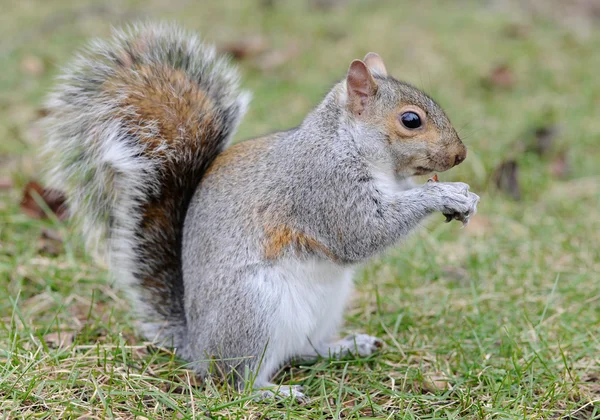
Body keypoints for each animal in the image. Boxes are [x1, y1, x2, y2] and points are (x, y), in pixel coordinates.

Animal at [44, 23, 480, 400]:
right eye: (411, 120)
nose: (460, 155)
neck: (351, 146)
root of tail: (196, 345)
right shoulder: (323, 187)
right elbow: (360, 234)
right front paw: (443, 195)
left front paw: (461, 195)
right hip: (253, 312)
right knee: (235, 380)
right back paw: (272, 392)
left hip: (325, 307)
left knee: (303, 350)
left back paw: (345, 347)